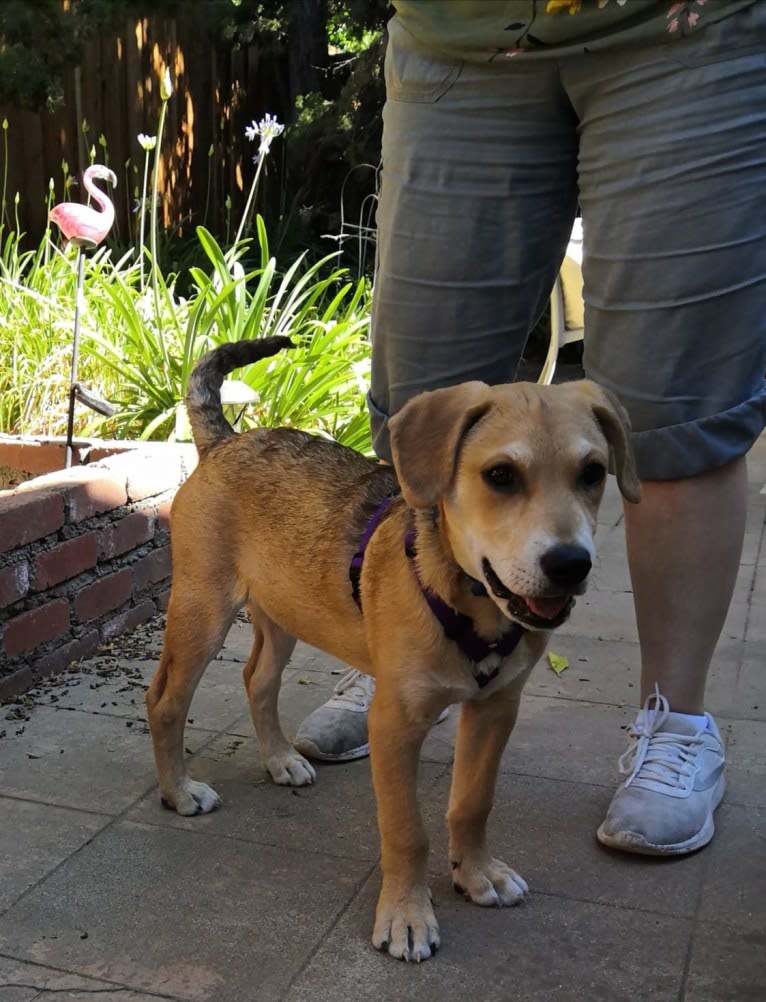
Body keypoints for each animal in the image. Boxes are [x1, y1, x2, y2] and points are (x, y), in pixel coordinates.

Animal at [145, 336, 641, 961]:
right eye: (500, 475)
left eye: (593, 473)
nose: (571, 565)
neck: (468, 600)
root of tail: (228, 440)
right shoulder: (395, 723)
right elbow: (408, 832)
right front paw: (406, 916)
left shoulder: (496, 709)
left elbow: (472, 802)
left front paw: (476, 873)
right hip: (202, 611)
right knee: (165, 700)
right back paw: (179, 791)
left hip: (284, 609)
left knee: (257, 679)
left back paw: (280, 759)